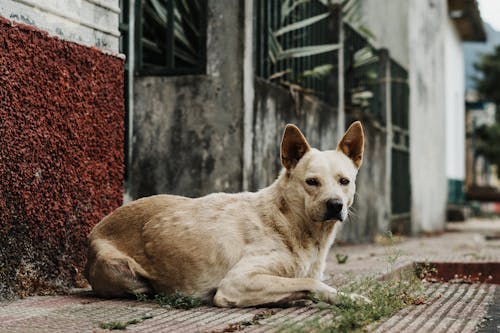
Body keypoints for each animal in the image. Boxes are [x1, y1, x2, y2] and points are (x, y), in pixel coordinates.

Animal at [84, 121, 368, 306]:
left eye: (344, 181)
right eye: (311, 182)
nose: (335, 205)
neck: (290, 222)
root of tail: (96, 228)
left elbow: (307, 283)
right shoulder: (238, 282)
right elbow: (308, 283)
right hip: (120, 270)